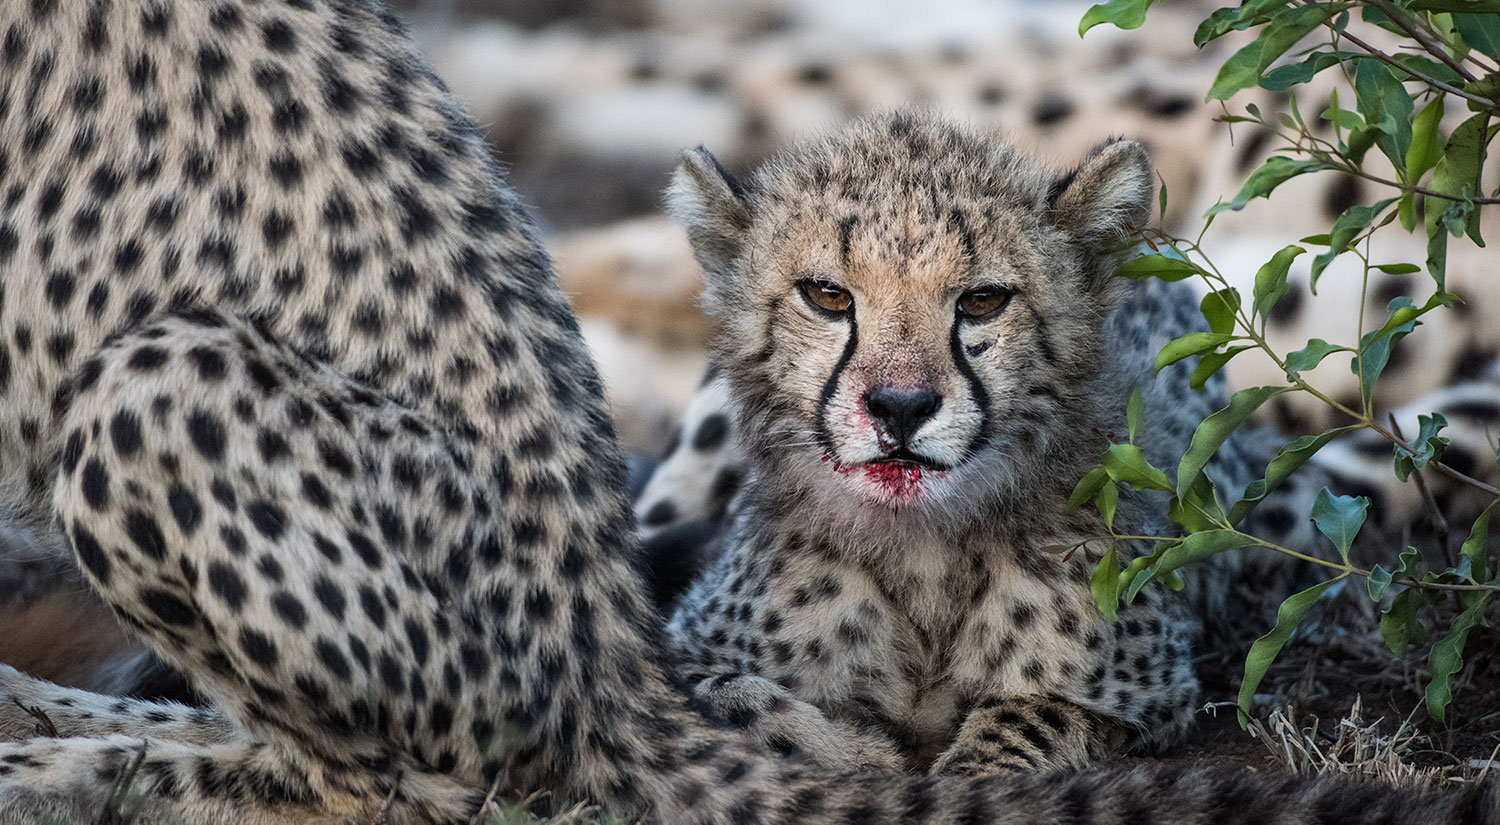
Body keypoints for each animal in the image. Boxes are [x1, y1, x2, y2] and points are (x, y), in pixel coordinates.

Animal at [0, 0, 1496, 823]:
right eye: (827, 294)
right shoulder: (711, 659)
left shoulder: (1133, 678)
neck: (925, 564)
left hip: (160, 381)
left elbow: (1011, 738)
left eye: (986, 301)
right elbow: (792, 720)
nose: (899, 407)